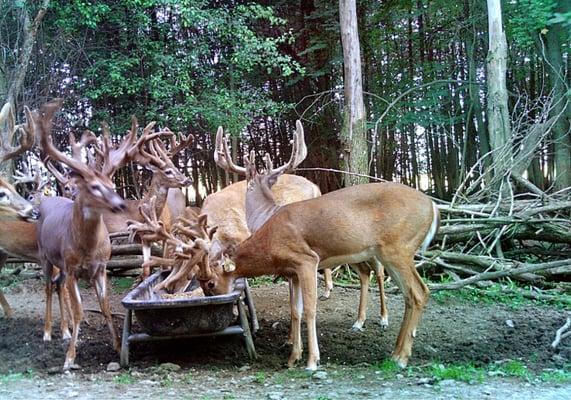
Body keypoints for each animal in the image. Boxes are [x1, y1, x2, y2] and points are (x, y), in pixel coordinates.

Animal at [36, 101, 128, 370]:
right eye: (94, 187)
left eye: (113, 185)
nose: (121, 204)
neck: (87, 247)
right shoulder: (73, 268)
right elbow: (79, 310)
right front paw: (69, 358)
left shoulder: (101, 266)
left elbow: (105, 307)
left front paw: (116, 346)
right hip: (45, 256)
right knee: (48, 287)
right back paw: (48, 333)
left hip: (61, 265)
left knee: (57, 286)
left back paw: (65, 331)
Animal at [199, 119, 440, 372]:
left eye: (211, 284)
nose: (225, 309)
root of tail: (433, 206)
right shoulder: (292, 271)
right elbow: (296, 310)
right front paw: (293, 356)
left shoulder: (307, 260)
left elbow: (309, 309)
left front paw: (311, 360)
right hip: (383, 253)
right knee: (398, 289)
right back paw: (391, 349)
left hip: (398, 248)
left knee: (417, 292)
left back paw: (400, 353)